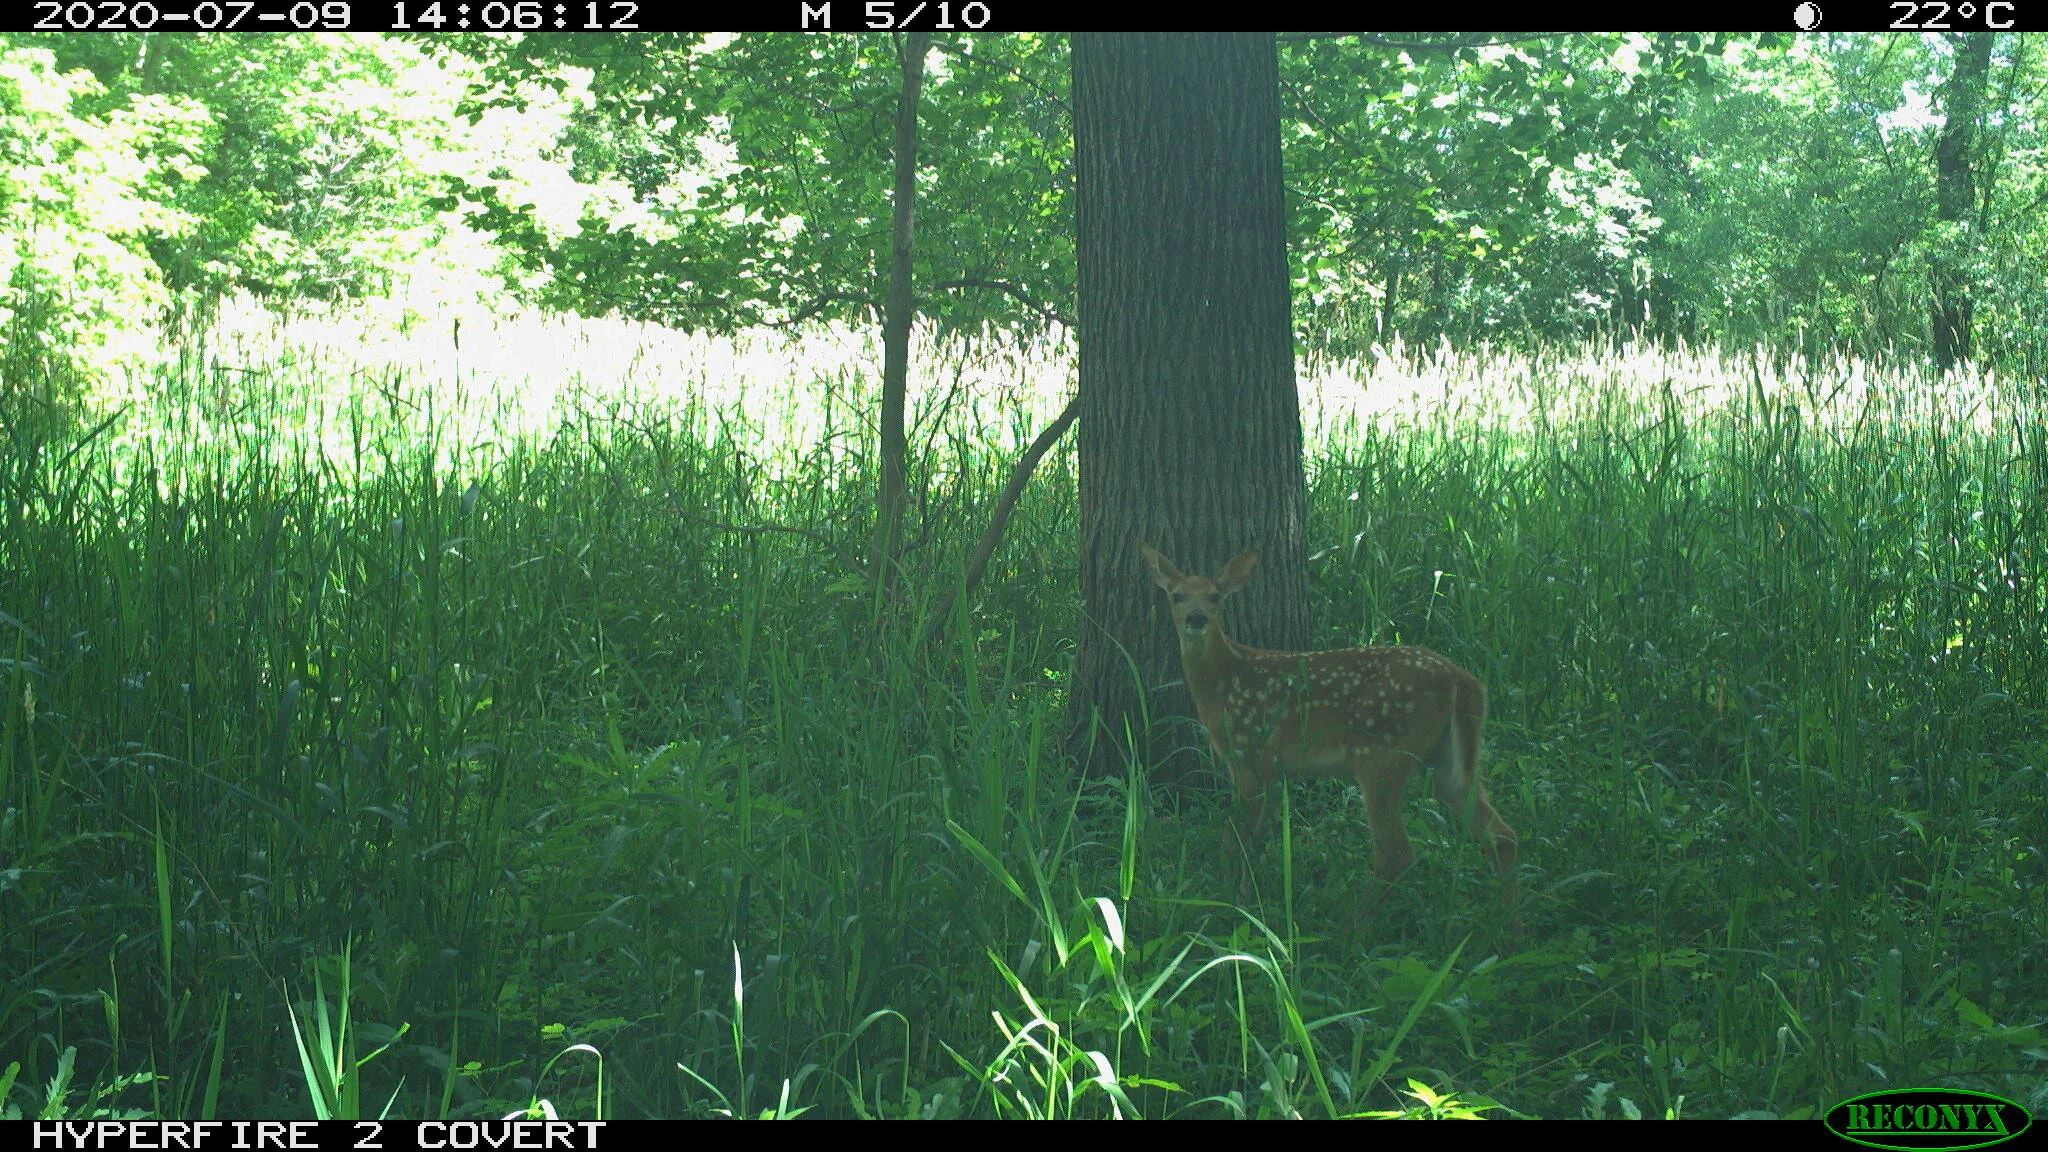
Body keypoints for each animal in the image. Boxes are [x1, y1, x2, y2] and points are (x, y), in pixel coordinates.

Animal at [1140, 543, 1519, 923]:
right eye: (1177, 595)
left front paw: (1230, 901)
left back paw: (1354, 924)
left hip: (1382, 752)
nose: (1197, 618)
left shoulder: (1249, 752)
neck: (1223, 683)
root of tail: (1461, 680)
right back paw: (1509, 925)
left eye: (1215, 597)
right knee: (1501, 834)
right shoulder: (1274, 771)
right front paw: (1249, 901)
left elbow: (1235, 838)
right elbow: (1258, 839)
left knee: (1395, 853)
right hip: (1447, 760)